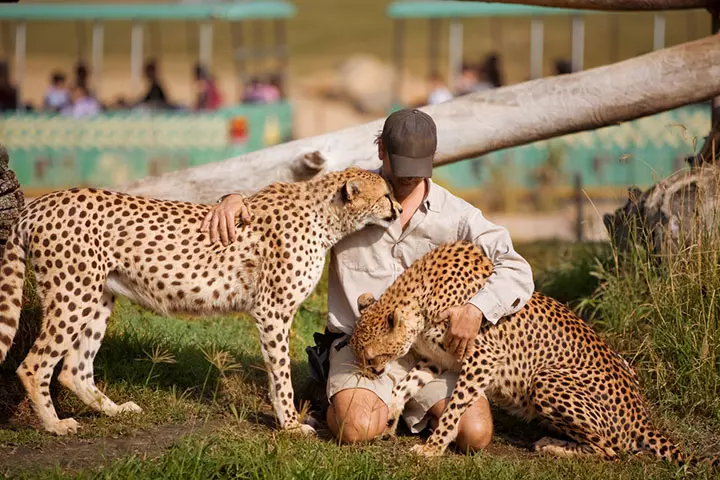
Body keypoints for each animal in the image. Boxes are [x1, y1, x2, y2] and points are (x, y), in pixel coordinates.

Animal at [0, 167, 402, 436]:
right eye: (385, 194)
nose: (399, 209)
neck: (324, 215)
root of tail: (40, 203)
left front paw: (285, 420)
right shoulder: (272, 312)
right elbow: (281, 373)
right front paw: (290, 425)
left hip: (98, 297)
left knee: (73, 369)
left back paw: (115, 411)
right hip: (72, 294)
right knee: (33, 365)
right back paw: (55, 425)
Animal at [348, 242, 716, 466]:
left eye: (369, 356)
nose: (368, 372)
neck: (420, 298)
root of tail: (641, 413)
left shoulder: (484, 359)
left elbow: (454, 409)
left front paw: (432, 447)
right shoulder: (436, 359)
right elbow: (403, 387)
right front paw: (390, 420)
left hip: (545, 380)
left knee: (613, 449)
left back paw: (554, 446)